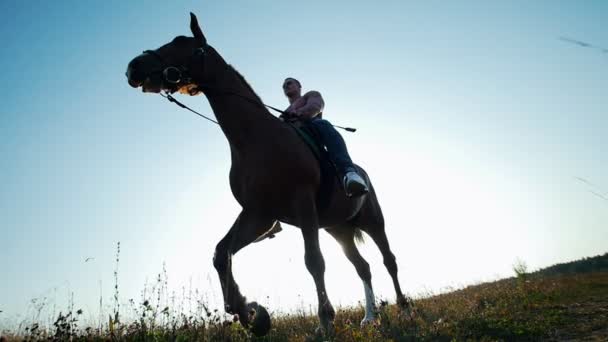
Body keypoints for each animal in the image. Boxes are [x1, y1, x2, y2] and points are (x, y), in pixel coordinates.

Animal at [124, 12, 408, 336]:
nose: (134, 67)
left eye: (182, 45)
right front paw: (251, 313)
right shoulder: (258, 214)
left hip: (373, 221)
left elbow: (314, 261)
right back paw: (370, 317)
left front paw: (324, 321)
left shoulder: (301, 204)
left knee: (389, 261)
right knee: (363, 267)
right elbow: (221, 254)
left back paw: (404, 309)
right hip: (339, 228)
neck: (256, 138)